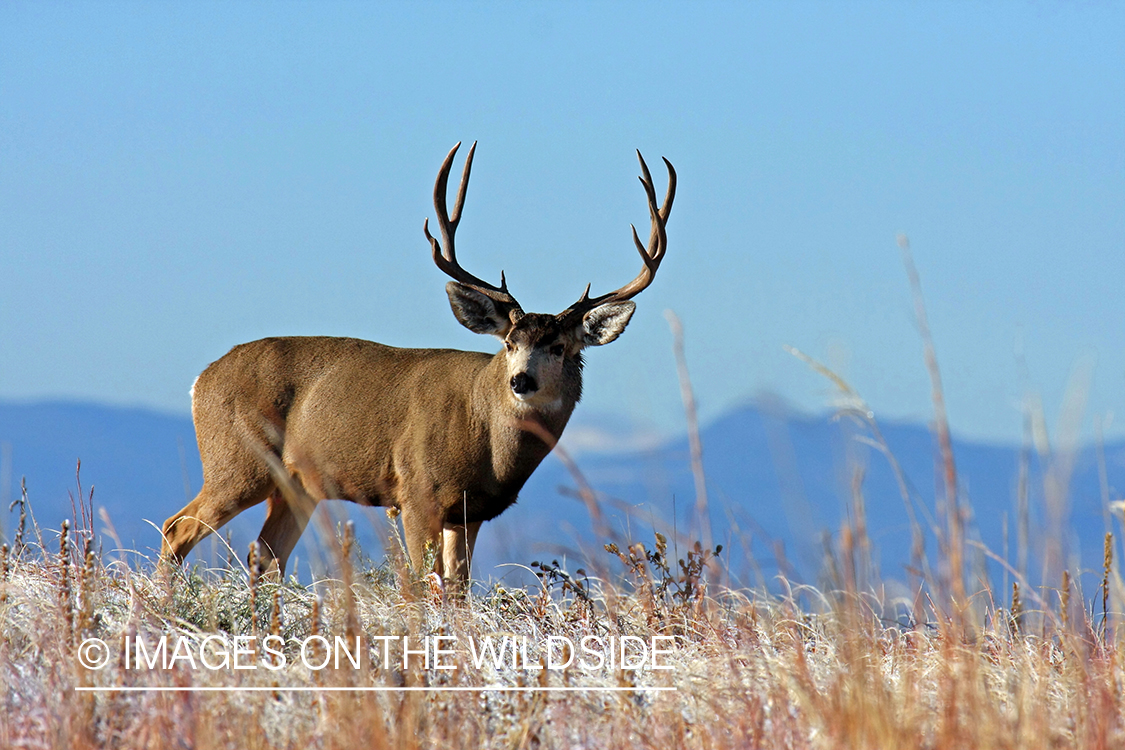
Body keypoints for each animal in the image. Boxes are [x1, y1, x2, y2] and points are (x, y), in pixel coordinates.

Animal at [159, 142, 675, 587]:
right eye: (510, 341)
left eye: (561, 348)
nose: (521, 380)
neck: (488, 444)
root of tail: (200, 380)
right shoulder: (417, 492)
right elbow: (424, 585)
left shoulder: (469, 513)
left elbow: (459, 589)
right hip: (237, 462)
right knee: (176, 529)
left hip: (297, 486)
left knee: (265, 555)